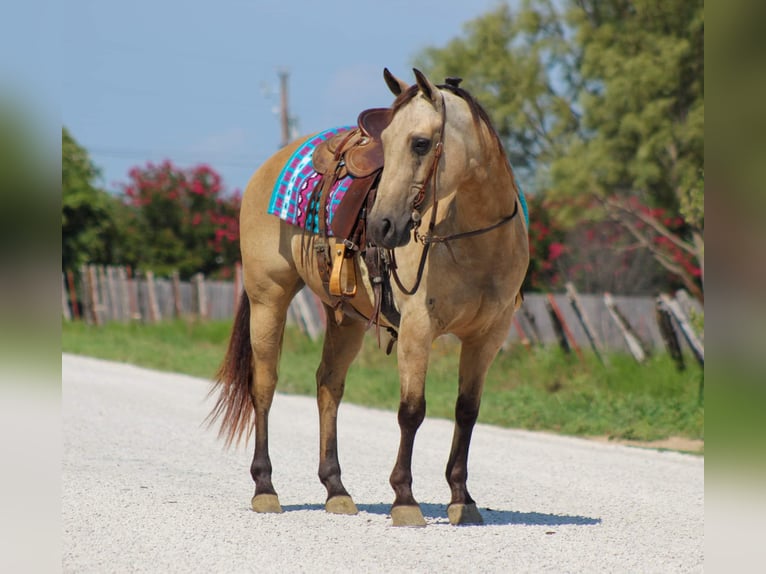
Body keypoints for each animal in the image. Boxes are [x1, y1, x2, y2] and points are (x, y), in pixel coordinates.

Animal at [208, 68, 529, 527]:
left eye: (420, 143)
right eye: (387, 141)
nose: (381, 225)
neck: (474, 238)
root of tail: (267, 167)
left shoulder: (488, 337)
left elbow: (467, 410)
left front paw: (462, 498)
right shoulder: (417, 329)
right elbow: (411, 410)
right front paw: (405, 499)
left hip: (347, 318)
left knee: (329, 385)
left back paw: (336, 490)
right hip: (269, 300)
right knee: (264, 386)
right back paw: (265, 488)